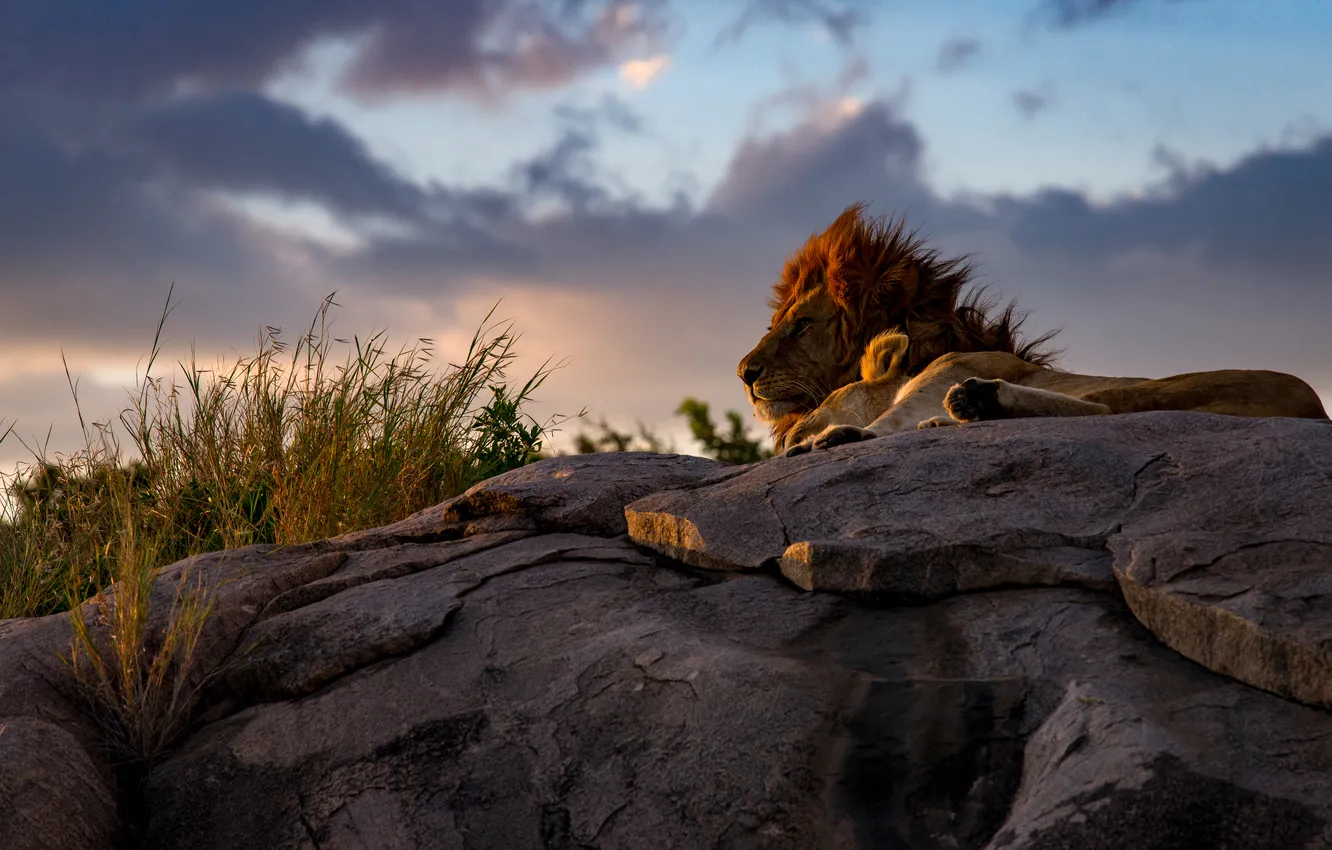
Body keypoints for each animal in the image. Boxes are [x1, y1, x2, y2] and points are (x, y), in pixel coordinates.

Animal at [736, 204, 1328, 455]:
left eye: (801, 324)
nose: (744, 373)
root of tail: (1318, 409)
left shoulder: (939, 374)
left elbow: (888, 421)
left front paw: (842, 434)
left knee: (1104, 410)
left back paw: (973, 404)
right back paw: (966, 412)